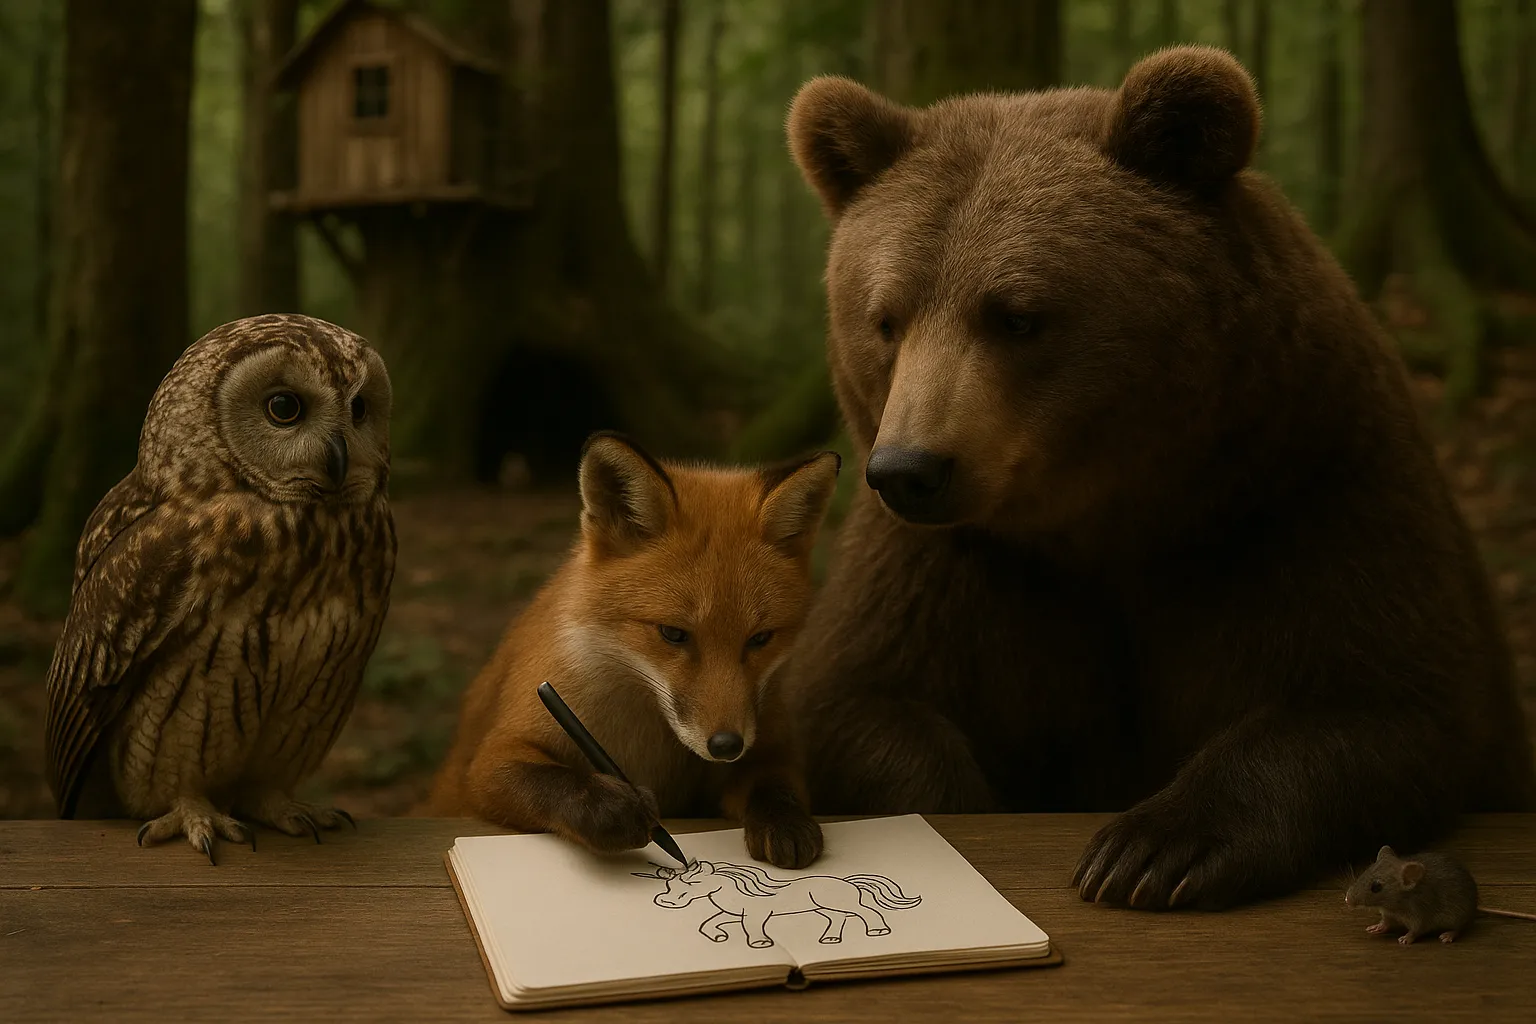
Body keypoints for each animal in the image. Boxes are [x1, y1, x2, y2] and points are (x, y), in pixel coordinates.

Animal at [425, 431, 841, 869]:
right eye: (673, 633)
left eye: (760, 639)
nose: (726, 746)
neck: (650, 740)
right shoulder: (491, 761)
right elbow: (553, 780)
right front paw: (610, 810)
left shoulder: (769, 744)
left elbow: (773, 781)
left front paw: (785, 821)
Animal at [780, 45, 1536, 911]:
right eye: (886, 319)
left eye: (1017, 315)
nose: (909, 469)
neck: (1115, 520)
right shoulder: (956, 572)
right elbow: (860, 703)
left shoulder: (1307, 495)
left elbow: (1385, 701)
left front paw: (1149, 849)